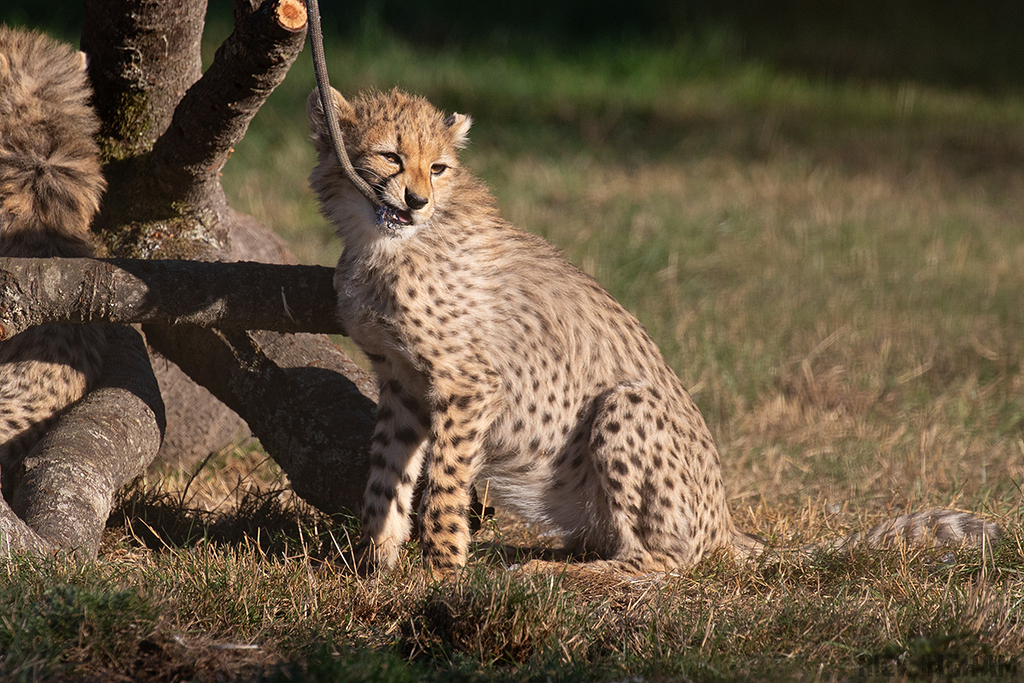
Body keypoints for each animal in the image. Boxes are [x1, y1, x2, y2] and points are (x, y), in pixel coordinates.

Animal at [307, 86, 1000, 573]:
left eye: (440, 168)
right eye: (390, 156)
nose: (417, 200)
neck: (382, 242)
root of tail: (726, 520)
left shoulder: (470, 384)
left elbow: (444, 485)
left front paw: (443, 573)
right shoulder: (402, 383)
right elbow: (386, 478)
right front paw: (375, 569)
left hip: (626, 402)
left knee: (664, 561)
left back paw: (557, 575)